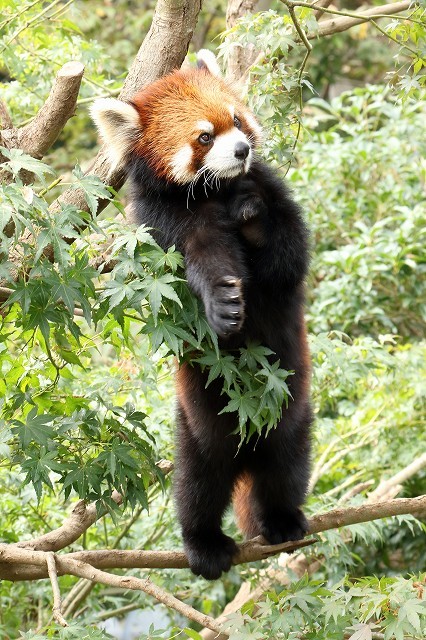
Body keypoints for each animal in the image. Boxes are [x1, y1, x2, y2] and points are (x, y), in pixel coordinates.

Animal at [92, 50, 312, 580]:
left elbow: (288, 259)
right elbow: (198, 267)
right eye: (204, 137)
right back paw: (204, 544)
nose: (241, 151)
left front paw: (253, 217)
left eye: (237, 120)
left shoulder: (274, 192)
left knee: (287, 466)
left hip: (293, 414)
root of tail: (247, 445)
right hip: (196, 427)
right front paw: (222, 300)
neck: (217, 193)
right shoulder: (164, 222)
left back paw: (284, 522)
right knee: (198, 484)